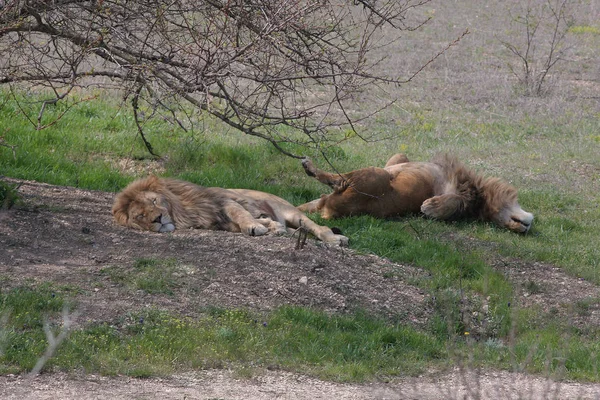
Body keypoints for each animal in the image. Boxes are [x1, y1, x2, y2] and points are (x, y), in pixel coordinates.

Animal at [112, 176, 346, 245]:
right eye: (140, 216)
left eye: (153, 201)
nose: (158, 219)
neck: (183, 211)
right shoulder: (218, 221)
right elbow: (244, 222)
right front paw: (268, 226)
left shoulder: (224, 201)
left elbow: (242, 215)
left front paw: (255, 227)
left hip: (293, 213)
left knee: (319, 227)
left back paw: (336, 240)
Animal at [300, 154, 536, 234]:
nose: (526, 227)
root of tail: (329, 209)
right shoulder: (400, 159)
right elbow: (398, 158)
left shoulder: (448, 190)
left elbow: (451, 201)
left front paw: (429, 207)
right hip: (317, 202)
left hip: (372, 175)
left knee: (337, 179)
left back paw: (311, 167)